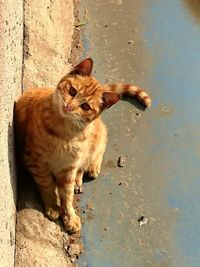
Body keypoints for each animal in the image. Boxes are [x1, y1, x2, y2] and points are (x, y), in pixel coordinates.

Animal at [14, 58, 151, 232]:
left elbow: (67, 196)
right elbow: (48, 186)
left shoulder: (68, 168)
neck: (65, 134)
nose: (69, 106)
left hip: (96, 137)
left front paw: (69, 216)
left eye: (85, 106)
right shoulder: (36, 161)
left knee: (99, 147)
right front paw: (52, 206)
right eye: (72, 91)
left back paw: (89, 170)